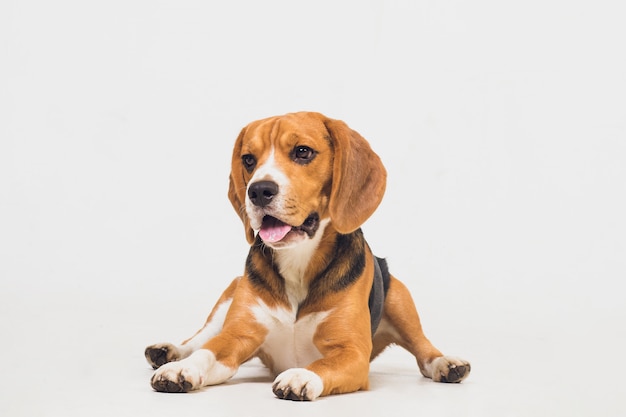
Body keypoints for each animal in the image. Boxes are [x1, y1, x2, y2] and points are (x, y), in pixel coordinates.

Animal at [145, 111, 468, 400]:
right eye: (248, 160)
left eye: (302, 152)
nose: (258, 191)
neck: (297, 261)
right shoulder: (237, 335)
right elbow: (207, 351)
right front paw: (181, 368)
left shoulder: (351, 352)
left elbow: (324, 363)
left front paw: (301, 375)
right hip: (229, 293)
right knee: (200, 337)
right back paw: (169, 352)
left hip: (400, 299)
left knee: (423, 349)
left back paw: (446, 364)